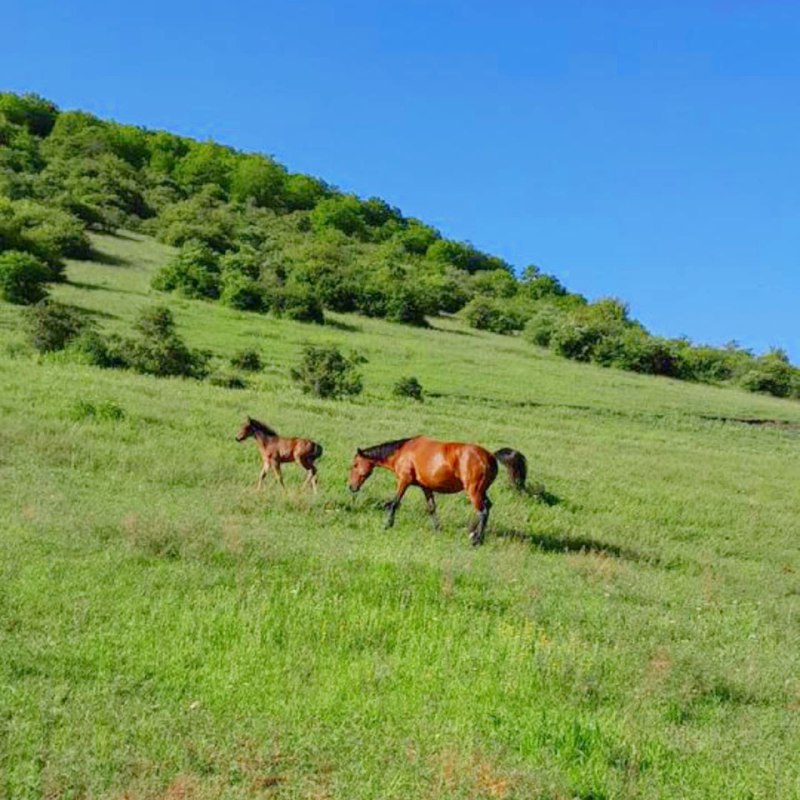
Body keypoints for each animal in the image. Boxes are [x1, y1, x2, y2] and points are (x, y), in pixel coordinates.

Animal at [348, 434, 524, 548]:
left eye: (355, 465)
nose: (351, 486)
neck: (402, 452)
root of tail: (490, 457)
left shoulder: (404, 481)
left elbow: (394, 503)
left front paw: (387, 525)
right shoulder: (426, 487)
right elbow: (431, 508)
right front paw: (437, 529)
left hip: (473, 491)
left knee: (483, 511)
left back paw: (476, 540)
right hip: (481, 491)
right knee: (487, 507)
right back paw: (474, 534)